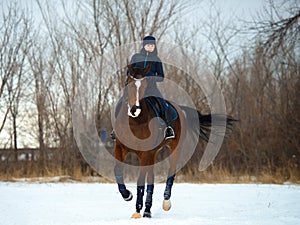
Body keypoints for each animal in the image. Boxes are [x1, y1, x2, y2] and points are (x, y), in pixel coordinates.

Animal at [113, 63, 233, 218]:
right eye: (128, 83)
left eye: (145, 86)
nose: (135, 109)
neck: (135, 122)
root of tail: (179, 108)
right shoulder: (121, 148)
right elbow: (118, 171)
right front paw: (127, 195)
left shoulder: (145, 154)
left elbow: (140, 180)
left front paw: (137, 211)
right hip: (152, 154)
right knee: (151, 180)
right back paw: (147, 210)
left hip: (174, 149)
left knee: (170, 173)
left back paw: (165, 203)